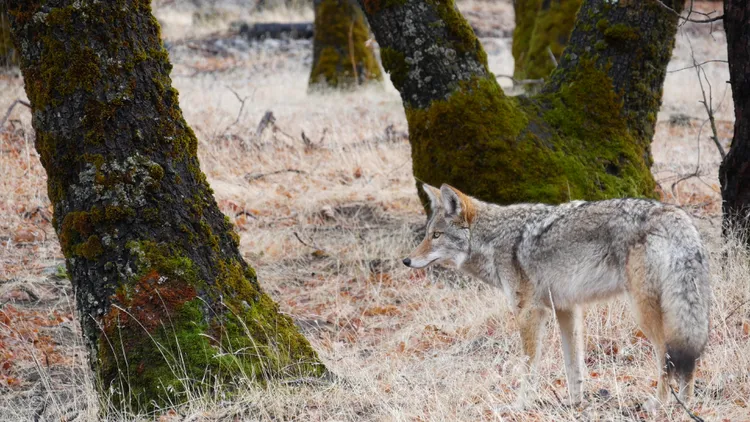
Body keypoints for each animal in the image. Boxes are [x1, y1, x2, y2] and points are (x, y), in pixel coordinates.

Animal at [406, 184, 712, 406]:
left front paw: (521, 405)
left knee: (666, 356)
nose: (406, 261)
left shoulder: (529, 313)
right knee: (687, 358)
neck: (495, 240)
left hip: (644, 314)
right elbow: (573, 366)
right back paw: (686, 405)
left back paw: (660, 405)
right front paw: (575, 404)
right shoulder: (567, 310)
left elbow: (529, 368)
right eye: (428, 234)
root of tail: (675, 214)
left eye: (435, 236)